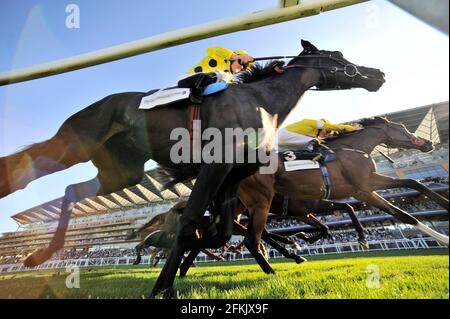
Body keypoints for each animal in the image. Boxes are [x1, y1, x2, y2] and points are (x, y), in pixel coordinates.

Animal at [0, 40, 384, 298]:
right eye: (339, 57)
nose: (378, 73)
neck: (261, 102)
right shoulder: (215, 166)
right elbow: (191, 225)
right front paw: (164, 283)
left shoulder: (234, 176)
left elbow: (223, 231)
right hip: (73, 144)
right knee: (22, 173)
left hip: (121, 172)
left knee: (71, 191)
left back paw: (39, 254)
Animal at [237, 117, 448, 276]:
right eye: (403, 128)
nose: (429, 143)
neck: (351, 149)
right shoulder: (363, 188)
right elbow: (404, 213)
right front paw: (444, 238)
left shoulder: (360, 187)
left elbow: (413, 184)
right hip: (261, 203)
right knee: (251, 239)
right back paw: (272, 270)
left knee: (256, 236)